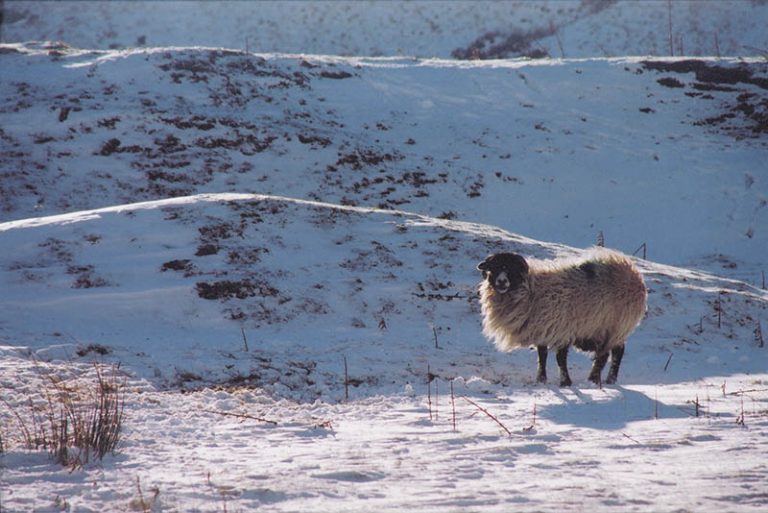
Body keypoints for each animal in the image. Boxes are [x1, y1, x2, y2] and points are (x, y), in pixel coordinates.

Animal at [477, 248, 647, 386]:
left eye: (512, 268)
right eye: (494, 268)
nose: (501, 281)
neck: (530, 289)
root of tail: (635, 275)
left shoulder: (563, 329)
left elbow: (560, 359)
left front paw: (565, 383)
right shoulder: (543, 329)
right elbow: (542, 356)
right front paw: (541, 380)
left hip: (617, 326)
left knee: (616, 353)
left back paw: (604, 379)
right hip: (603, 329)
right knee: (606, 354)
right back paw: (597, 379)